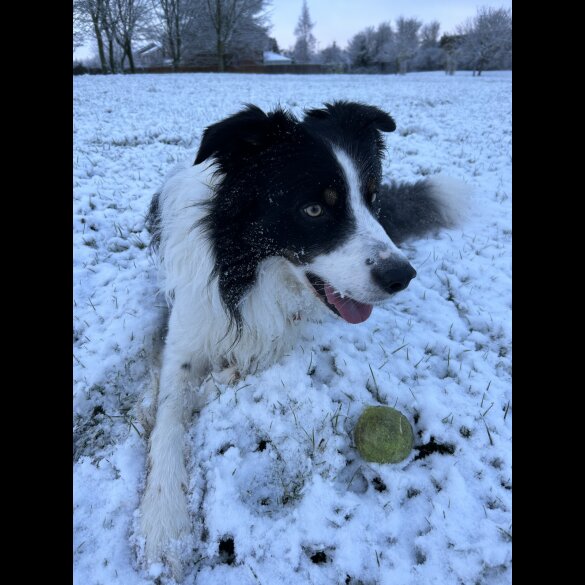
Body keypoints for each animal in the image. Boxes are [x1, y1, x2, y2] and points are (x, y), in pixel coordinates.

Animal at [139, 98, 468, 576]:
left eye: (372, 198)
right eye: (313, 210)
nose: (402, 276)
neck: (250, 273)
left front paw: (223, 378)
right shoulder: (183, 333)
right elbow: (168, 421)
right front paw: (163, 527)